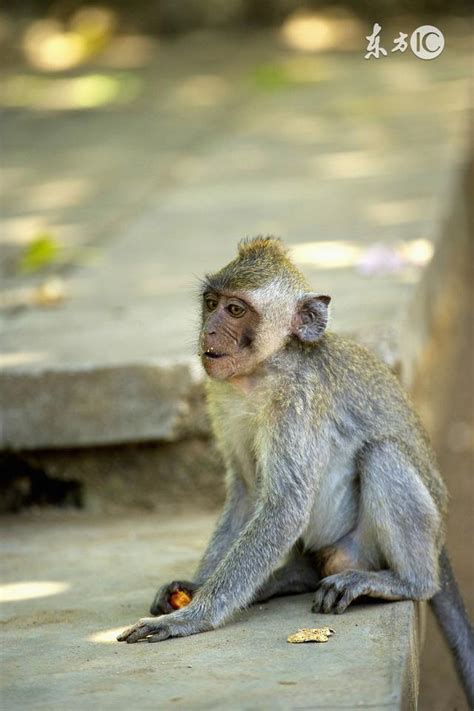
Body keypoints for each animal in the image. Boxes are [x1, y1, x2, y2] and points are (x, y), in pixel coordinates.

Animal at [117, 238, 474, 708]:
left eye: (236, 310)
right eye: (211, 303)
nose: (208, 331)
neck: (262, 372)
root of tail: (439, 542)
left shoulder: (297, 401)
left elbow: (284, 506)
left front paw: (192, 616)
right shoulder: (222, 394)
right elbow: (247, 490)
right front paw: (193, 586)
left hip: (365, 546)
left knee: (381, 454)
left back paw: (408, 582)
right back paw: (289, 577)